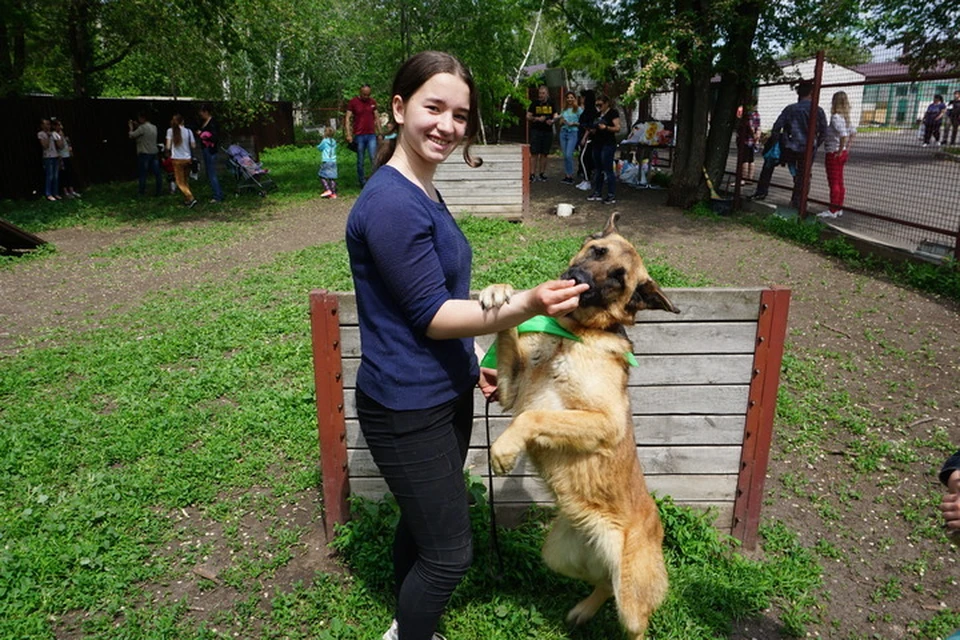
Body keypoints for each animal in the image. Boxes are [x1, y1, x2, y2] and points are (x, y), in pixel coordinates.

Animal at [478, 214, 676, 640]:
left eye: (618, 278)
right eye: (597, 251)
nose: (577, 279)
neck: (573, 333)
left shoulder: (604, 421)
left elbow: (533, 417)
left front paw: (503, 450)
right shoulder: (509, 391)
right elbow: (509, 334)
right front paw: (499, 292)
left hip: (631, 600)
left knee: (635, 620)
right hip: (557, 556)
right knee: (601, 583)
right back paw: (584, 610)